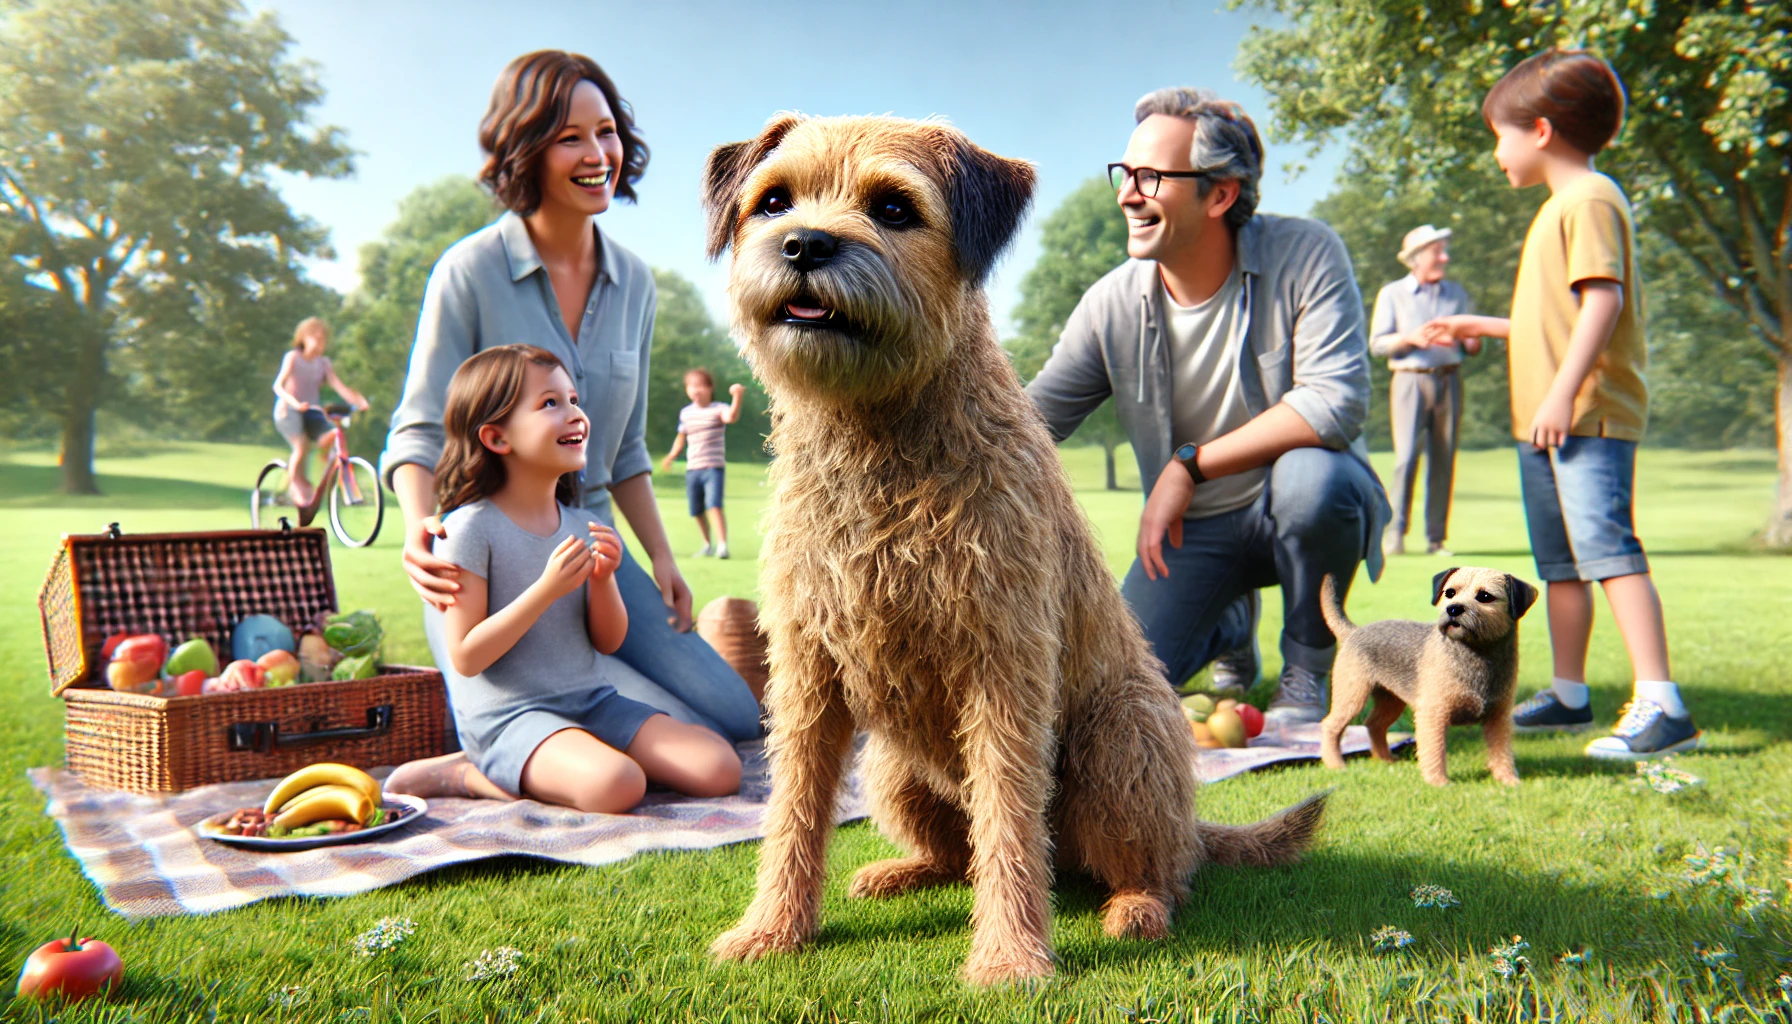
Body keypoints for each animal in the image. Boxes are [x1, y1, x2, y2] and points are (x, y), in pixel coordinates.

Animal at [698, 116, 1333, 989]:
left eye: (893, 208)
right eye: (771, 201)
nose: (802, 244)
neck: (878, 441)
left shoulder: (1002, 668)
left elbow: (1006, 816)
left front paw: (1007, 958)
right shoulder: (806, 676)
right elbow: (792, 807)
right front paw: (770, 930)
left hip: (1120, 737)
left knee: (1161, 870)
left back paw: (1135, 908)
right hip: (890, 767)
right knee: (956, 855)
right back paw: (898, 871)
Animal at [1318, 566, 1541, 789]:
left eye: (1485, 596)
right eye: (1450, 593)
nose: (1453, 609)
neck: (1477, 656)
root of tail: (1354, 632)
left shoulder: (1498, 717)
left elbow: (1502, 752)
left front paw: (1508, 780)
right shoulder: (1433, 714)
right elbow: (1435, 751)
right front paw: (1438, 782)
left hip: (1391, 702)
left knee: (1374, 725)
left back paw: (1386, 759)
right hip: (1351, 697)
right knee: (1330, 726)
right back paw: (1335, 764)